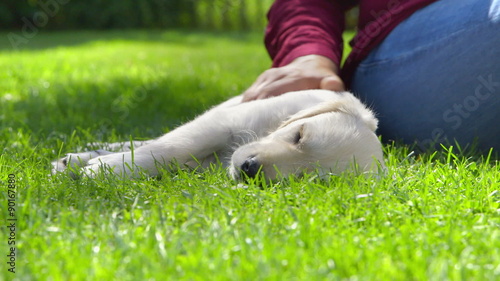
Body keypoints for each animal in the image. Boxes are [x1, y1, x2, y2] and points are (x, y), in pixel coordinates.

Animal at [51, 89, 382, 179]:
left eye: (305, 178)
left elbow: (169, 157)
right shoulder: (222, 120)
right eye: (298, 136)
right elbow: (169, 148)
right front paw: (106, 169)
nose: (249, 168)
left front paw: (104, 166)